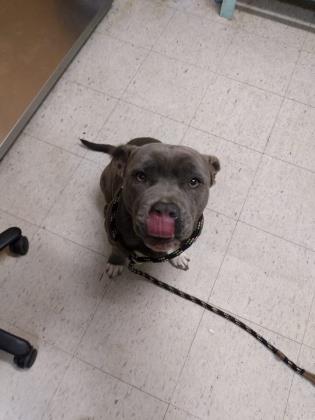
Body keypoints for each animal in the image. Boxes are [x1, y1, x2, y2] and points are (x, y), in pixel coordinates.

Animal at [80, 136, 221, 278]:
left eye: (194, 181)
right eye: (140, 176)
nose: (165, 209)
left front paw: (178, 257)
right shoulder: (113, 236)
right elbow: (117, 249)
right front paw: (115, 262)